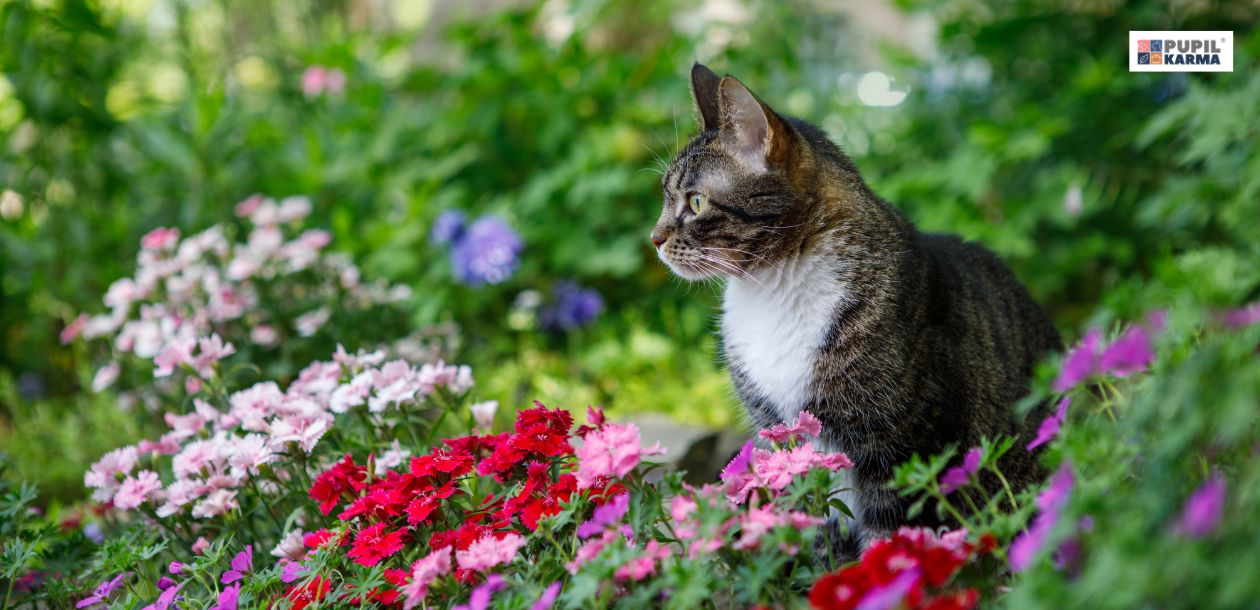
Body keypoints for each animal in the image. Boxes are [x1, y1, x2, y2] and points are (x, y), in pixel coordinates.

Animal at [650, 64, 1063, 559]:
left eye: (695, 202)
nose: (653, 238)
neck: (771, 290)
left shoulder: (900, 443)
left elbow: (888, 536)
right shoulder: (782, 437)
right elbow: (811, 523)